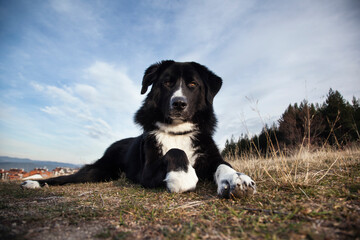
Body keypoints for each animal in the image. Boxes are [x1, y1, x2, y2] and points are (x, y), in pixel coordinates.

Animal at [21, 60, 256, 199]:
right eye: (166, 83)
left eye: (192, 85)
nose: (179, 103)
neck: (177, 131)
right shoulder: (147, 172)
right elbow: (175, 152)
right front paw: (182, 177)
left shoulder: (210, 157)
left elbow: (224, 166)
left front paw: (236, 179)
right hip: (98, 170)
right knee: (65, 178)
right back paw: (32, 183)